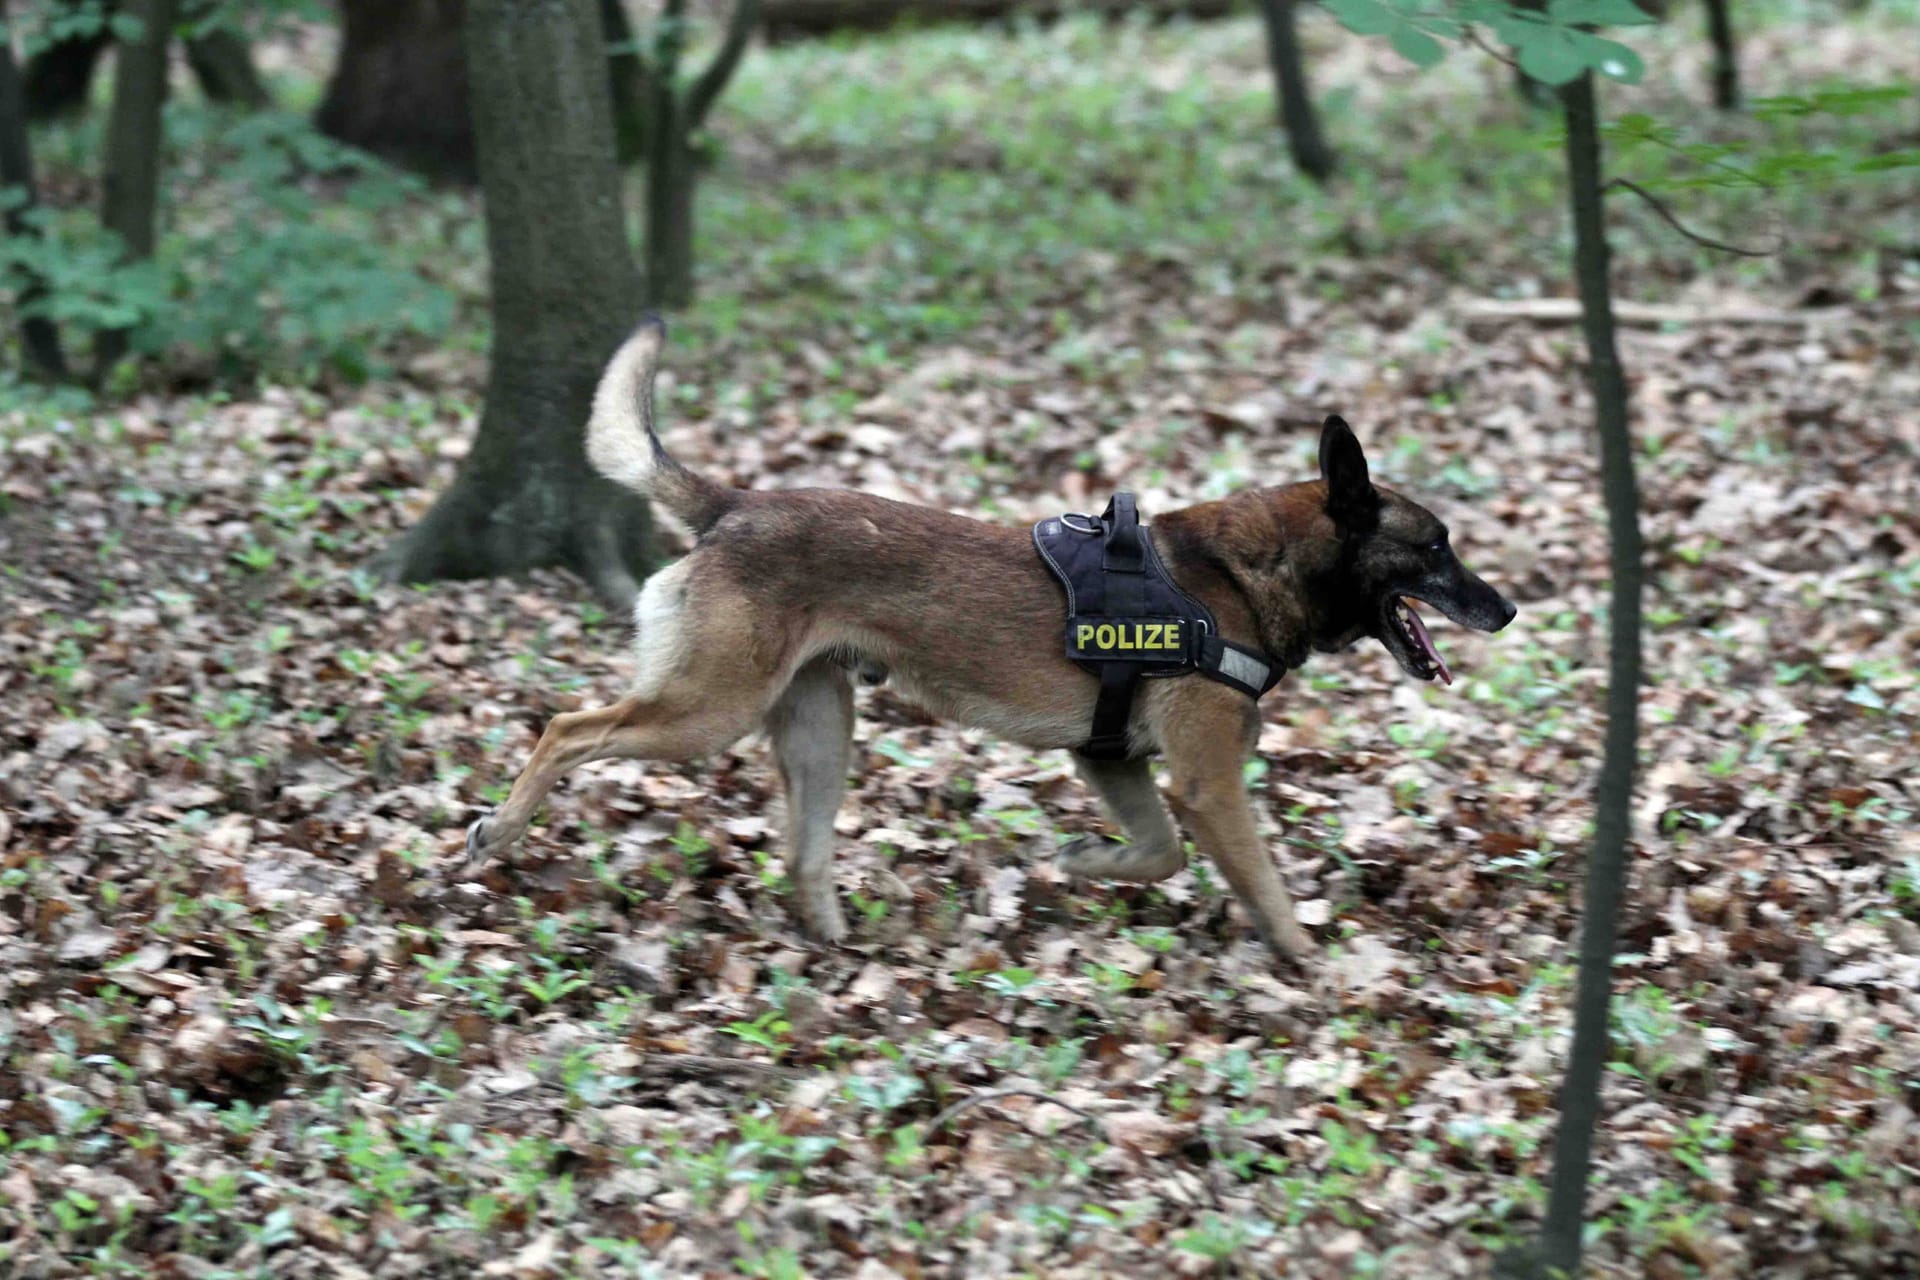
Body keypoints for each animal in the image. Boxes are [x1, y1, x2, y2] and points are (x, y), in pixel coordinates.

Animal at [460, 320, 1512, 959]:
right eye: (1436, 548)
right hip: (705, 712)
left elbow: (1159, 853)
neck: (1252, 572)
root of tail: (733, 505)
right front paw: (1310, 965)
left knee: (802, 854)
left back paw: (839, 946)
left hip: (818, 730)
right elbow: (1260, 881)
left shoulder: (1113, 761)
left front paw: (1085, 864)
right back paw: (501, 827)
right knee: (567, 729)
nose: (1507, 610)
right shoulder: (1208, 781)